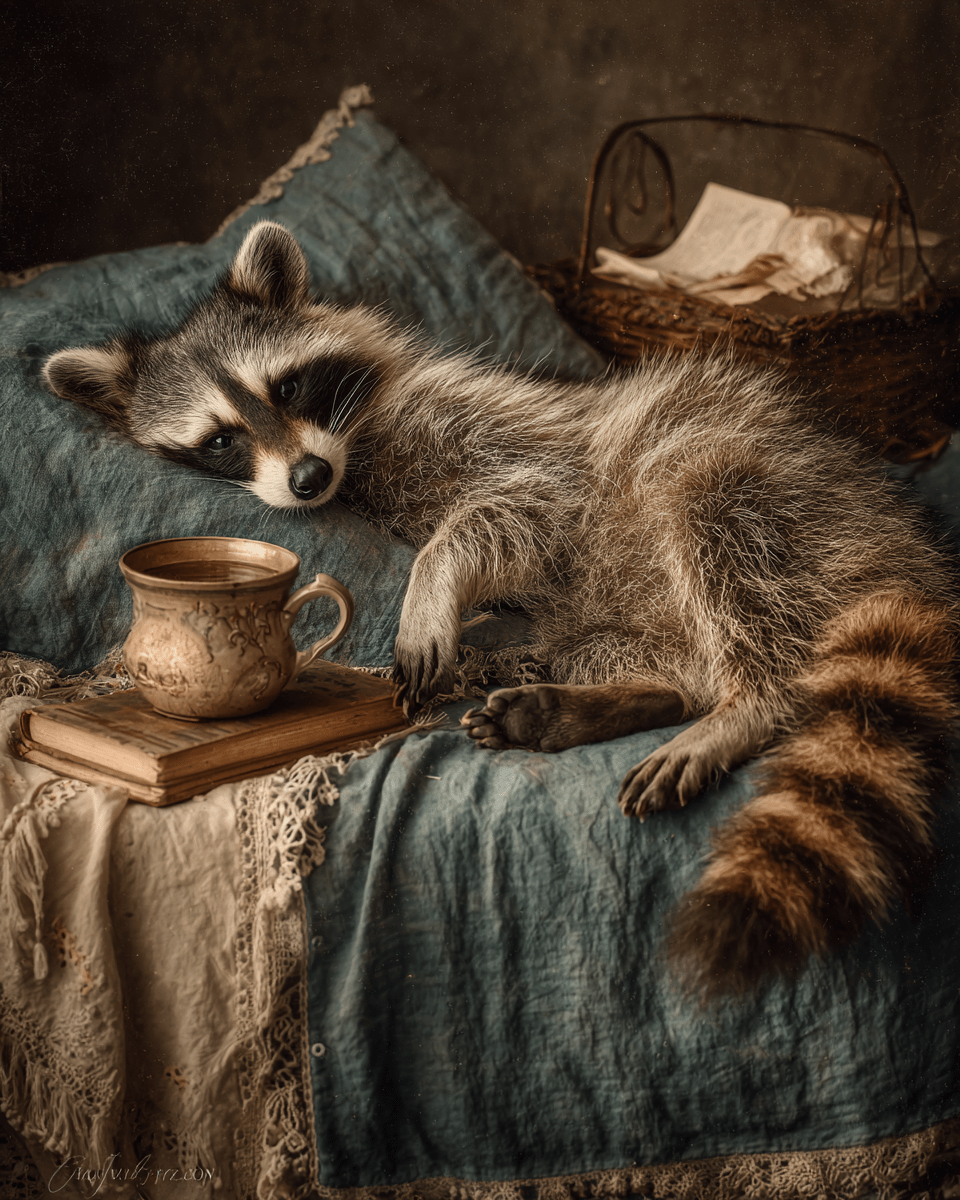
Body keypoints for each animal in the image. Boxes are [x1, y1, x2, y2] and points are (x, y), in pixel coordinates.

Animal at [44, 220, 959, 996]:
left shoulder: (514, 435)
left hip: (771, 492)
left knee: (717, 523)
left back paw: (749, 702)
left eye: (291, 384)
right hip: (627, 611)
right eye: (222, 439)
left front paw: (432, 584)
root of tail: (898, 541)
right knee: (643, 655)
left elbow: (515, 509)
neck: (353, 452)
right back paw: (626, 699)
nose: (306, 479)